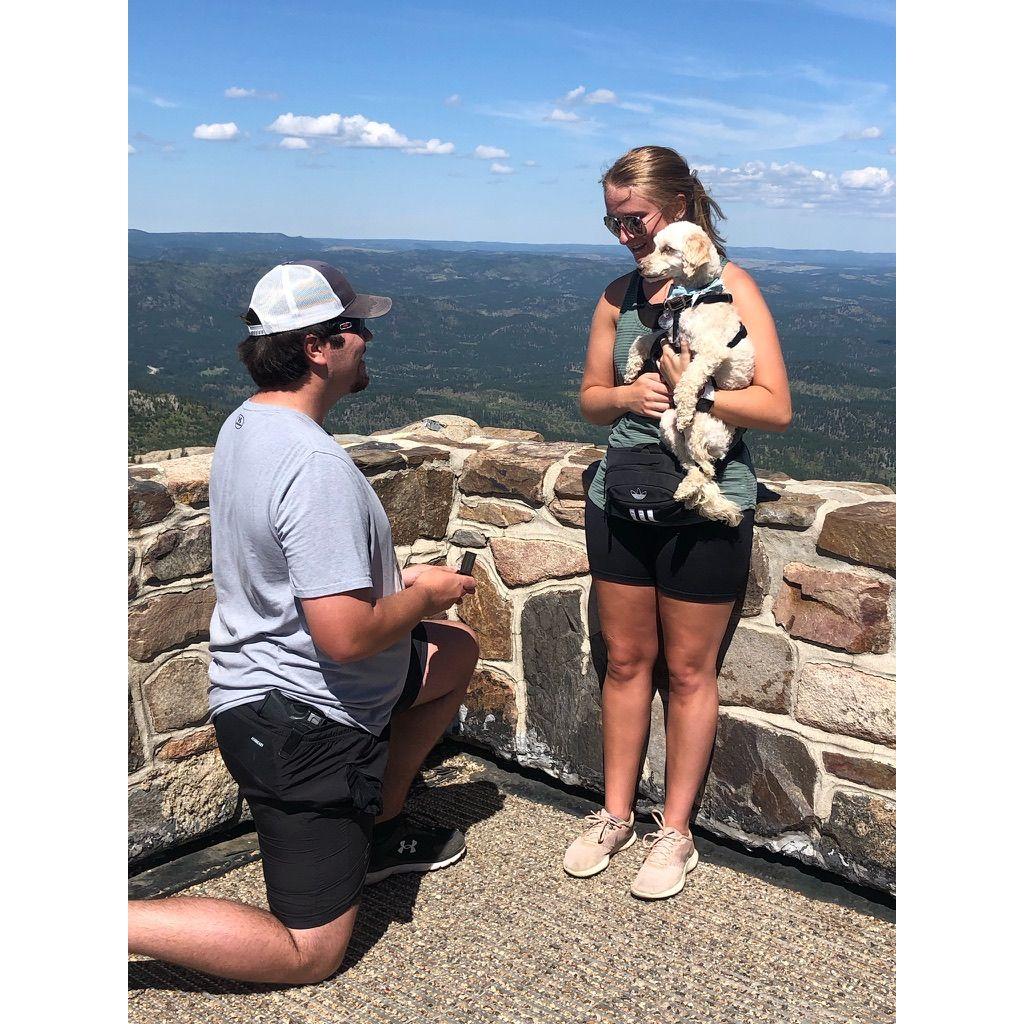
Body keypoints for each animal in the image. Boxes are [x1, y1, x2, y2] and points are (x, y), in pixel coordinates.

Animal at [618, 220, 757, 524]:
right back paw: (684, 488)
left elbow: (689, 378)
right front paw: (632, 369)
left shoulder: (710, 352)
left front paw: (683, 405)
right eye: (654, 245)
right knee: (689, 463)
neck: (695, 297)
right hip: (666, 424)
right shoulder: (668, 333)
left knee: (707, 468)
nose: (641, 267)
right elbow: (642, 340)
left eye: (668, 249)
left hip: (702, 427)